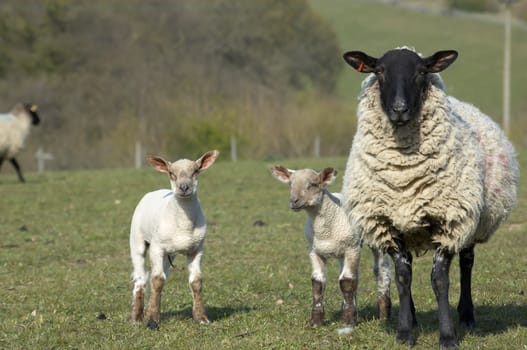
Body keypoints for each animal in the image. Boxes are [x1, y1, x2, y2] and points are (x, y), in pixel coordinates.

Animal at [131, 150, 220, 328]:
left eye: (196, 171)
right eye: (171, 173)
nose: (184, 187)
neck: (184, 225)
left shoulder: (197, 248)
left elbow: (196, 281)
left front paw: (201, 318)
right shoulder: (157, 247)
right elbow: (157, 280)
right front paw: (152, 321)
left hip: (169, 253)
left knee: (158, 275)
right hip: (137, 240)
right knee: (141, 278)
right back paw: (136, 317)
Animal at [272, 165, 392, 326]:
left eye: (313, 184)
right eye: (290, 184)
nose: (294, 201)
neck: (324, 230)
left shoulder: (352, 248)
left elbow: (347, 281)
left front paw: (348, 321)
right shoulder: (314, 251)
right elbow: (318, 283)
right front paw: (316, 321)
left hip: (375, 240)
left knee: (381, 271)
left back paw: (384, 315)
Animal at [342, 47, 520, 350]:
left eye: (421, 72)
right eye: (380, 72)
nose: (399, 109)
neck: (404, 173)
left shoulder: (450, 222)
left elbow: (440, 280)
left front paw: (447, 336)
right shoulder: (388, 224)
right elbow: (403, 278)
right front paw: (404, 332)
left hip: (472, 222)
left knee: (467, 263)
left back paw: (467, 315)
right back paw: (413, 317)